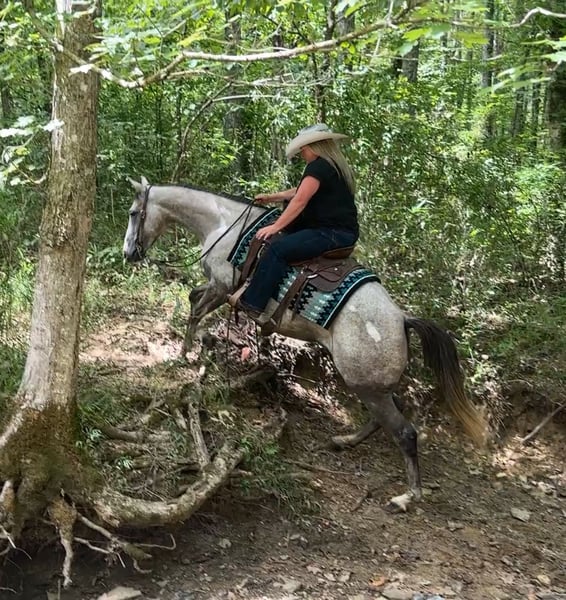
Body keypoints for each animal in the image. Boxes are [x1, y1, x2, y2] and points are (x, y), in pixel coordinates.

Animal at [123, 176, 489, 511]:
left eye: (133, 213)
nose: (128, 254)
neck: (225, 225)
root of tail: (401, 319)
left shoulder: (223, 288)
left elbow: (196, 309)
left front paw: (185, 353)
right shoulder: (217, 288)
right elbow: (195, 300)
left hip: (364, 381)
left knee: (404, 432)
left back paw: (407, 496)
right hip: (369, 383)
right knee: (386, 413)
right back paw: (345, 440)